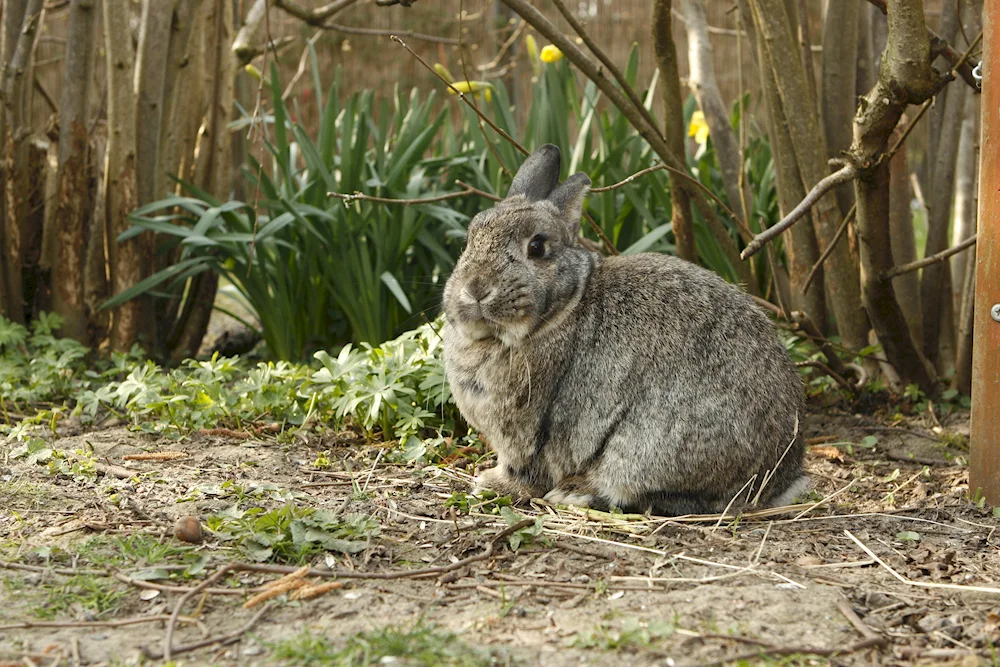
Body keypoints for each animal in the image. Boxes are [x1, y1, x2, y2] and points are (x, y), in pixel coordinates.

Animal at [442, 144, 808, 516]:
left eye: (537, 247)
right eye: (471, 238)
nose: (475, 289)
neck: (563, 308)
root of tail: (778, 481)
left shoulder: (529, 431)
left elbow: (526, 469)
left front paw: (492, 484)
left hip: (648, 448)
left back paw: (577, 492)